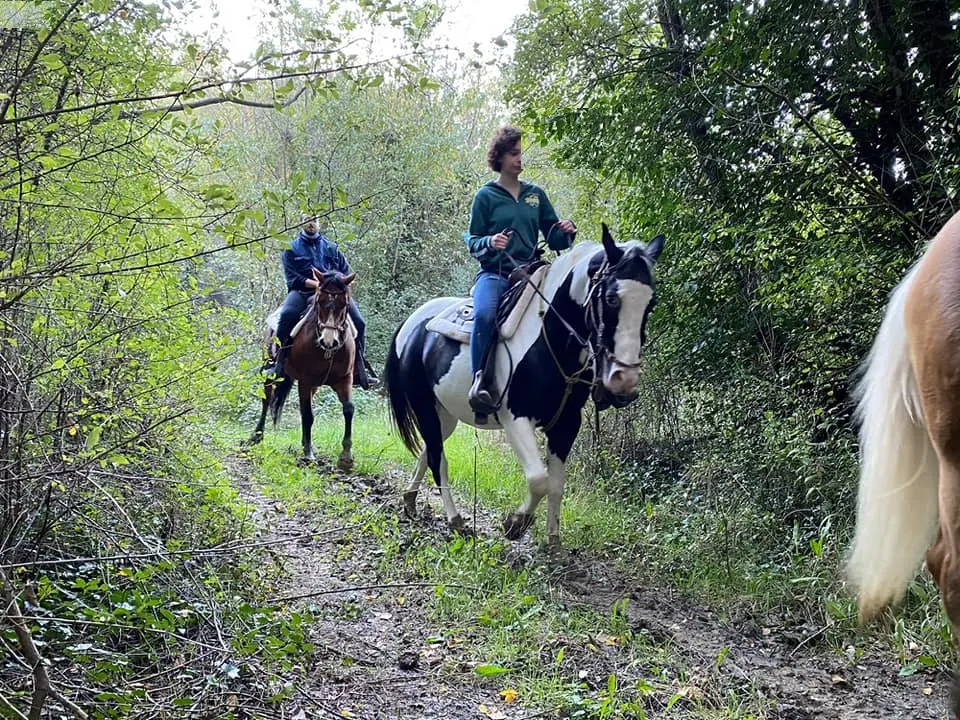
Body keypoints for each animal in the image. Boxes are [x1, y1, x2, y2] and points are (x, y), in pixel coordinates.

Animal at [249, 268, 358, 470]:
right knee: (267, 399)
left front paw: (346, 457)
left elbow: (348, 409)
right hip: (271, 369)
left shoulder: (344, 379)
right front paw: (308, 454)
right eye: (319, 301)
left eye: (344, 303)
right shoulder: (305, 381)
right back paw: (257, 436)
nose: (329, 341)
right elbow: (308, 415)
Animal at [386, 225, 664, 544]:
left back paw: (410, 500)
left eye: (651, 303)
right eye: (611, 299)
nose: (624, 380)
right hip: (423, 407)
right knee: (438, 460)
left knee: (429, 450)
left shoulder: (566, 424)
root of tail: (412, 323)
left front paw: (553, 543)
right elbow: (539, 480)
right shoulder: (515, 419)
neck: (550, 338)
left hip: (445, 413)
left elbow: (556, 485)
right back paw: (456, 521)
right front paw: (516, 523)